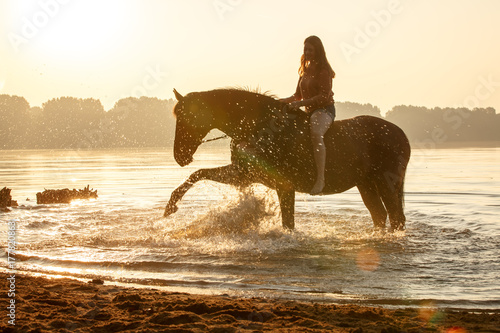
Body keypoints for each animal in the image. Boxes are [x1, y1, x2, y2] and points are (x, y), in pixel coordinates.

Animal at [164, 89, 410, 232]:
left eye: (187, 116)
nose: (180, 156)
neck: (262, 128)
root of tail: (400, 133)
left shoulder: (284, 186)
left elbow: (288, 224)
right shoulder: (243, 175)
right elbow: (197, 174)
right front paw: (170, 207)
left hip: (386, 184)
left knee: (396, 218)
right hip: (366, 185)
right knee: (380, 216)